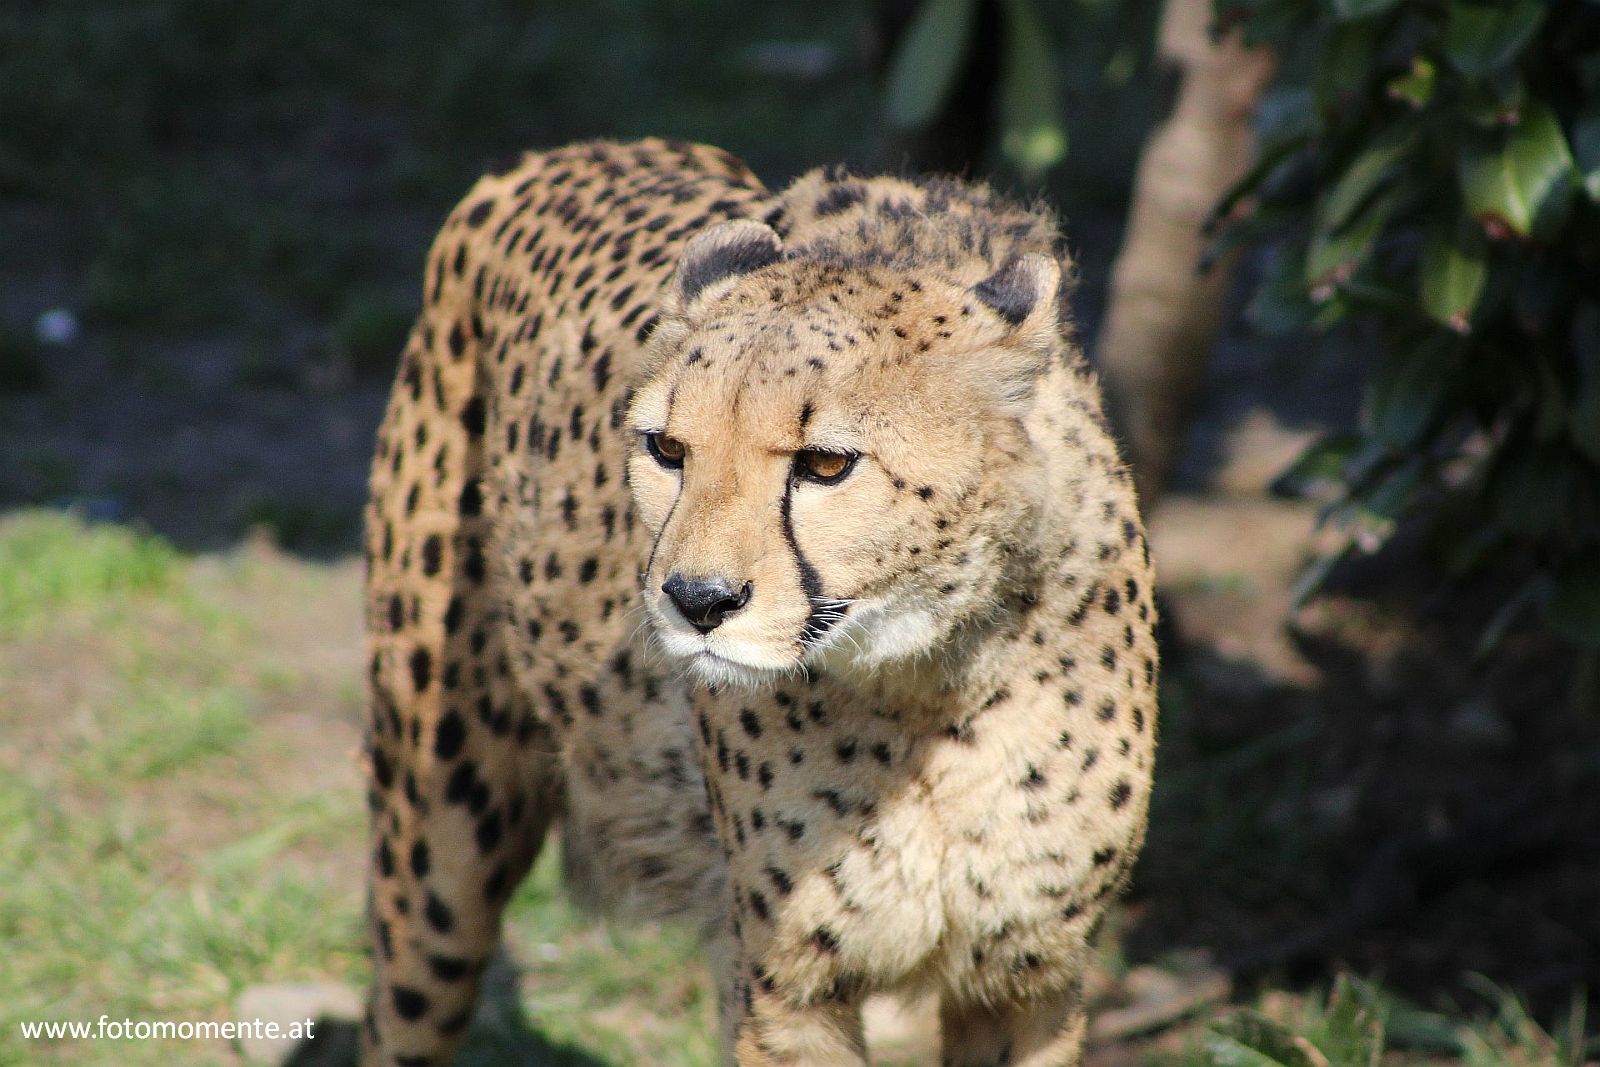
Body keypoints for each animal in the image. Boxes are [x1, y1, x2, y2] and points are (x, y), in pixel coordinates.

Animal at [364, 139, 1158, 1067]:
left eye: (826, 463)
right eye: (667, 448)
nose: (697, 599)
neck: (928, 687)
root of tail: (563, 154)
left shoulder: (1029, 984)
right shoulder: (789, 988)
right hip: (438, 845)